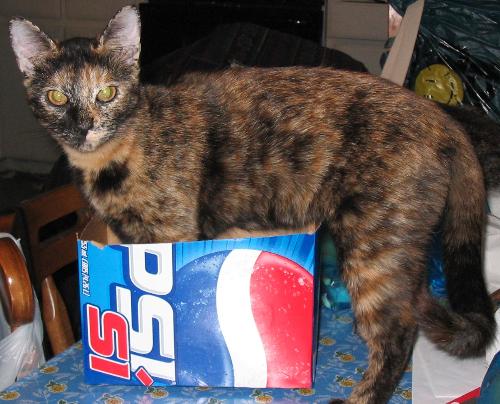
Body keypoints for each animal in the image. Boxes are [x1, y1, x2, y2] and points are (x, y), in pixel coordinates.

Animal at [9, 7, 498, 404]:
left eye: (107, 93)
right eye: (57, 97)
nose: (84, 127)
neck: (117, 155)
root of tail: (443, 118)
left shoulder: (170, 233)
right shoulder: (129, 235)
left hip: (375, 244)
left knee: (398, 332)